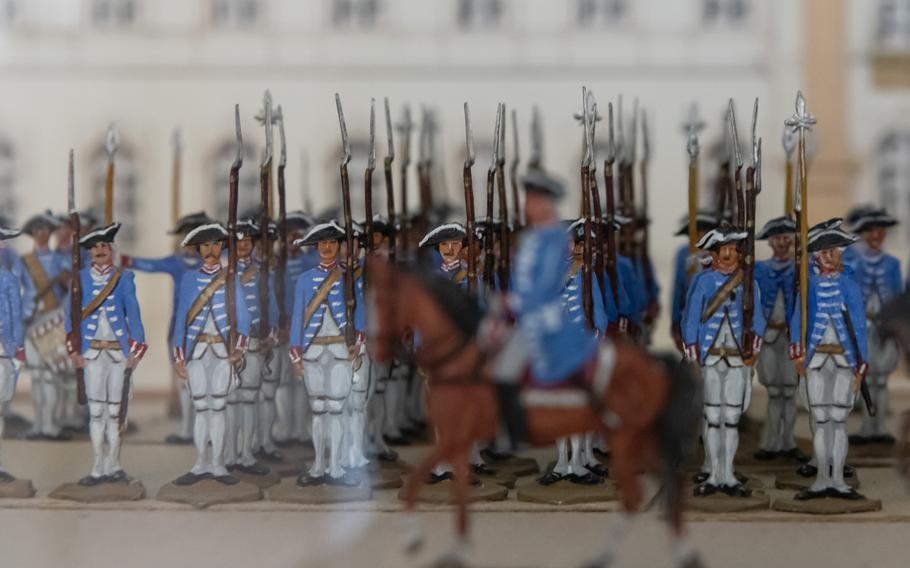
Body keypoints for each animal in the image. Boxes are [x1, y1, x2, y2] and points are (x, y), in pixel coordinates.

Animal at [366, 260, 700, 568]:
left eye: (385, 303)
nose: (379, 349)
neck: (461, 357)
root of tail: (653, 366)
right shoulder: (456, 440)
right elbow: (457, 496)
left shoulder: (454, 437)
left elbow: (416, 483)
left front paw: (413, 537)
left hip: (628, 438)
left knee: (640, 493)